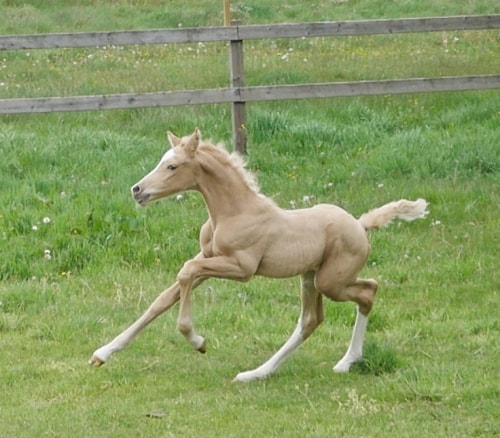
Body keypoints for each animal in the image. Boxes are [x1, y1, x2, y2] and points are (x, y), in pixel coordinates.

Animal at [89, 128, 428, 382]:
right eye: (162, 161)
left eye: (172, 166)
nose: (137, 190)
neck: (233, 212)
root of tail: (360, 224)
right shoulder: (208, 258)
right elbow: (164, 297)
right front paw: (102, 354)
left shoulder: (241, 268)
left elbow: (186, 270)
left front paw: (198, 341)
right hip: (310, 278)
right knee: (311, 320)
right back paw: (258, 373)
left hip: (331, 282)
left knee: (368, 291)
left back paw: (346, 362)